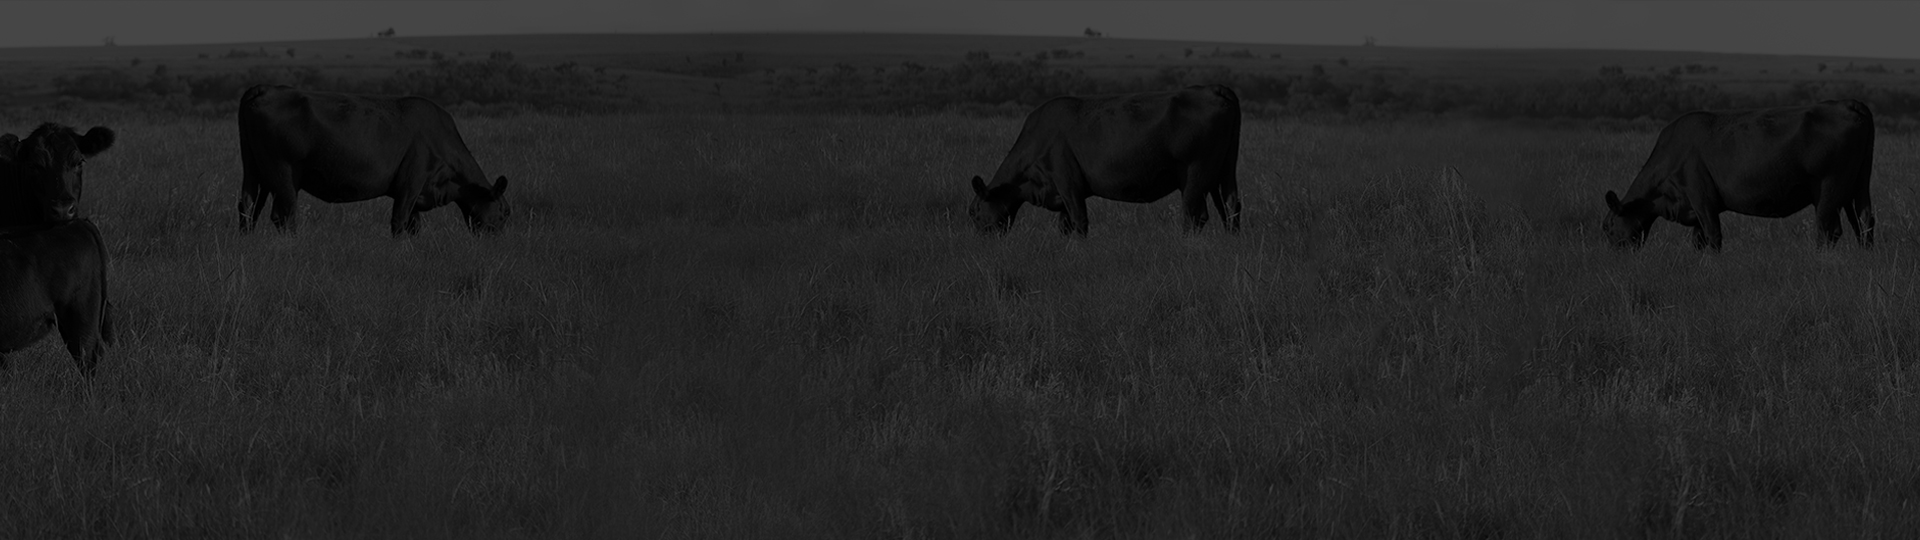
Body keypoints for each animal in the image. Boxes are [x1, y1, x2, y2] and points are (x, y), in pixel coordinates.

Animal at [236, 85, 511, 237]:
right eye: (504, 212)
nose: (497, 240)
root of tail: (266, 88)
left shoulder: (416, 194)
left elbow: (414, 226)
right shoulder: (411, 183)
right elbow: (399, 222)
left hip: (255, 169)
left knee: (247, 206)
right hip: (283, 175)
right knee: (284, 215)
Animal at [968, 84, 1242, 236]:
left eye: (974, 212)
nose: (981, 239)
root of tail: (1213, 88)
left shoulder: (1068, 183)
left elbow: (1079, 223)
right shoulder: (1062, 193)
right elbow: (1065, 226)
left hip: (1195, 175)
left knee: (1195, 216)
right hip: (1225, 169)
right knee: (1231, 206)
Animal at [1602, 100, 1874, 251]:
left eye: (1609, 227)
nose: (1615, 255)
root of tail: (1846, 103)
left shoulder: (1701, 198)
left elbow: (1713, 237)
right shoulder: (1696, 209)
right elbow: (1698, 241)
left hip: (1829, 189)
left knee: (1828, 230)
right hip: (1857, 185)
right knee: (1864, 221)